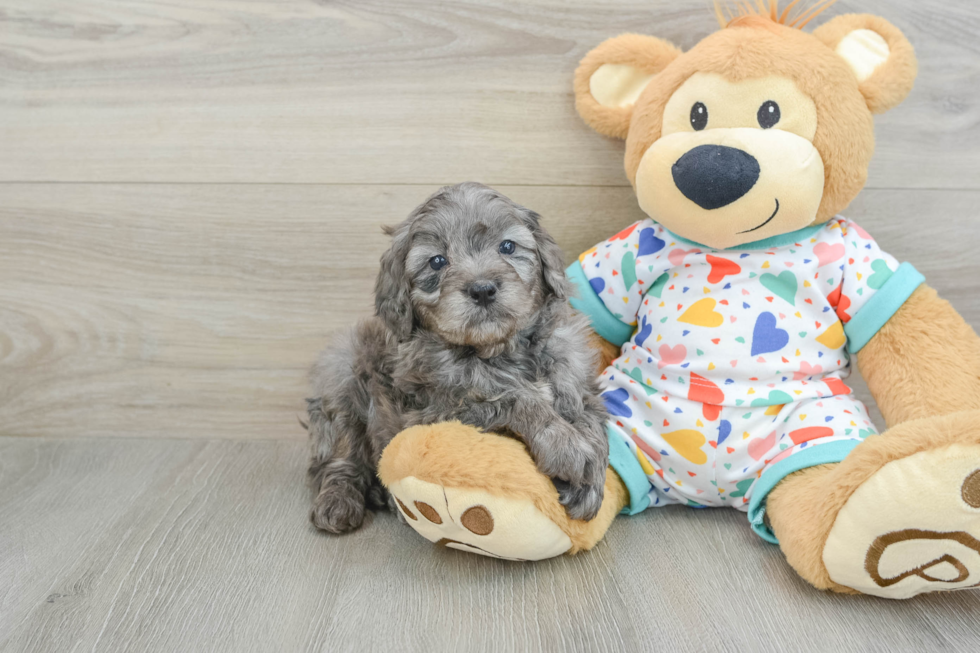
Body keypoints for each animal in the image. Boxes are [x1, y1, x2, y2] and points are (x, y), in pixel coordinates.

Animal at [310, 181, 608, 532]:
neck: (496, 350)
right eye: (437, 261)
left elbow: (589, 417)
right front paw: (566, 444)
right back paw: (339, 501)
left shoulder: (576, 375)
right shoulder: (432, 412)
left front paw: (590, 481)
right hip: (342, 372)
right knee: (341, 455)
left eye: (507, 246)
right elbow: (513, 397)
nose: (482, 289)